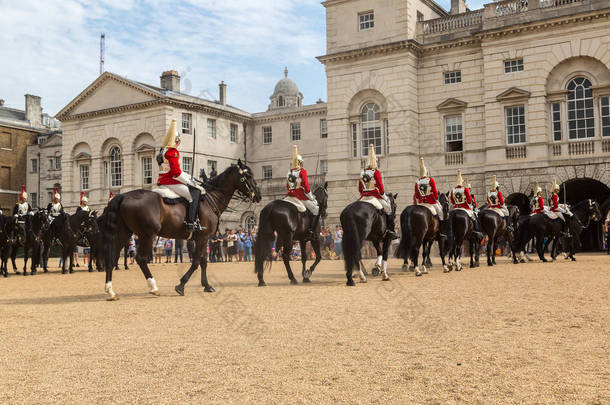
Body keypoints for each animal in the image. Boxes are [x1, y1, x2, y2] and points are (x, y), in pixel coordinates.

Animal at [99, 160, 258, 300]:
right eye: (248, 175)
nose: (258, 195)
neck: (211, 199)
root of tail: (123, 195)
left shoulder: (202, 238)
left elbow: (203, 261)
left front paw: (207, 286)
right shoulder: (202, 238)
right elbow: (196, 262)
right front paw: (181, 285)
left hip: (124, 234)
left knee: (112, 258)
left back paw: (111, 291)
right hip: (147, 235)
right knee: (140, 259)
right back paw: (153, 287)